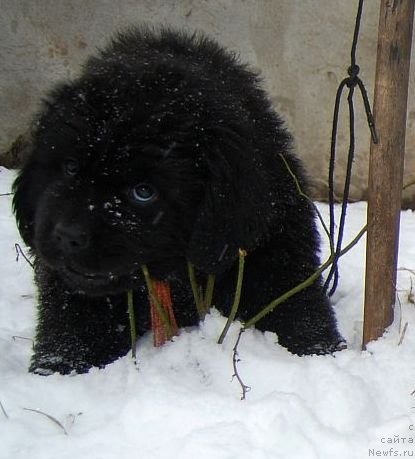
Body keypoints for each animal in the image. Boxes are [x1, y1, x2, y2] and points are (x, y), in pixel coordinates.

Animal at [13, 27, 344, 376]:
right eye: (71, 168)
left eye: (143, 191)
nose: (67, 236)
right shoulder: (69, 293)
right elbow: (71, 335)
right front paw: (58, 371)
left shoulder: (276, 258)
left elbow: (298, 314)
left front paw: (316, 355)